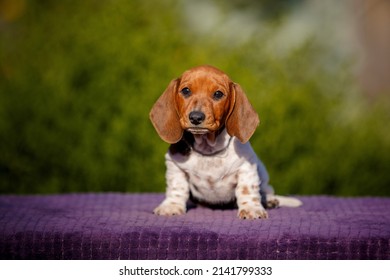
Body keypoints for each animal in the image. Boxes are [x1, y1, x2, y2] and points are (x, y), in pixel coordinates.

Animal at [150, 65, 302, 219]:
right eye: (186, 91)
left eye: (218, 94)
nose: (196, 117)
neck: (208, 149)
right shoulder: (175, 166)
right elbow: (177, 187)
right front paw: (171, 206)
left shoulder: (247, 166)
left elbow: (247, 189)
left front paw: (251, 208)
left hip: (263, 172)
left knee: (266, 189)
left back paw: (269, 200)